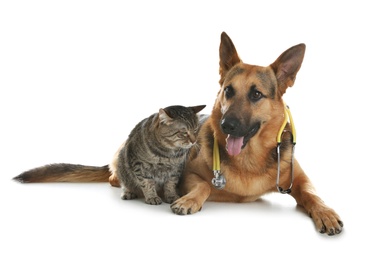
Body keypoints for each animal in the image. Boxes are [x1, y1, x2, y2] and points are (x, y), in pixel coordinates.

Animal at [13, 31, 342, 236]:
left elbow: (313, 194)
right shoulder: (186, 176)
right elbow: (204, 185)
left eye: (256, 94)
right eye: (228, 91)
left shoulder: (299, 180)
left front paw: (325, 212)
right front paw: (189, 200)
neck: (248, 159)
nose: (226, 125)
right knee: (114, 175)